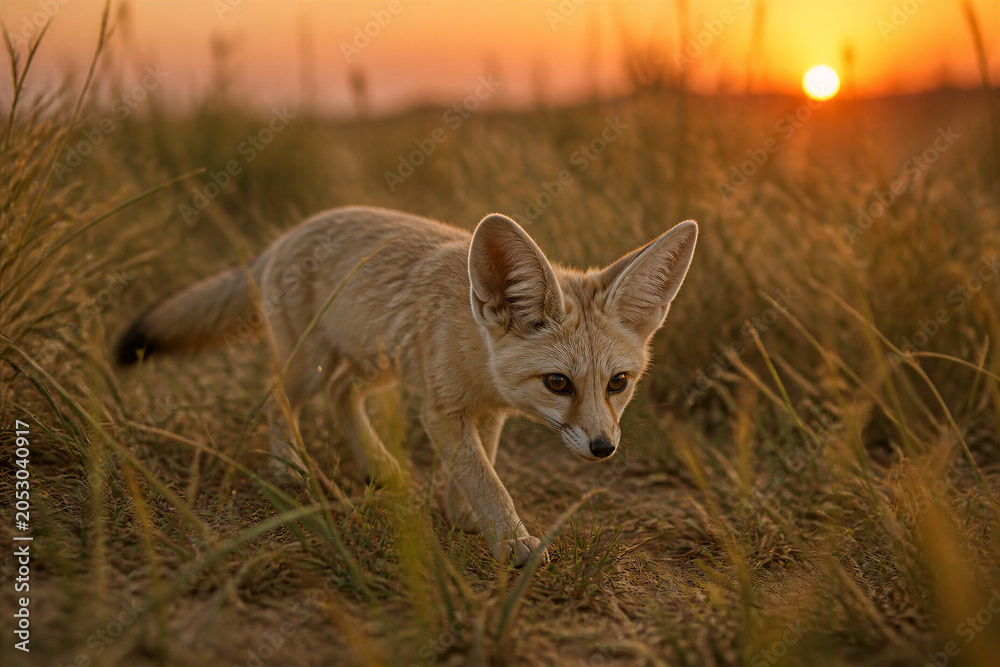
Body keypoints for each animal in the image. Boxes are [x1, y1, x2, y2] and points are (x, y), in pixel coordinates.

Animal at [115, 206, 697, 566]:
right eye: (558, 383)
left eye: (618, 383)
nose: (604, 449)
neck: (476, 355)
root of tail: (288, 234)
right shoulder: (441, 411)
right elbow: (488, 480)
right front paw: (511, 540)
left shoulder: (485, 412)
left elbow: (477, 467)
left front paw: (464, 516)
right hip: (309, 365)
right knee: (280, 399)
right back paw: (290, 465)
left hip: (375, 365)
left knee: (342, 394)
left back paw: (376, 464)